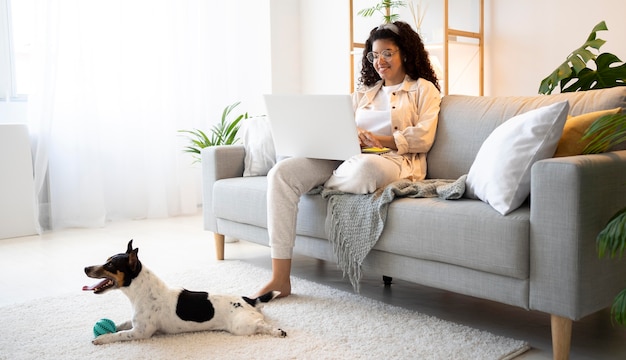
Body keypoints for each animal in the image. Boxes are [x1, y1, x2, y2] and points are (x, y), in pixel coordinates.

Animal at [83, 239, 286, 344]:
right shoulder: (134, 323)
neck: (141, 291)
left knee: (262, 326)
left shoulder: (140, 333)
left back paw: (277, 331)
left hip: (242, 327)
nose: (85, 268)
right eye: (107, 261)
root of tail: (249, 300)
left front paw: (102, 338)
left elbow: (119, 335)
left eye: (110, 265)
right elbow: (120, 325)